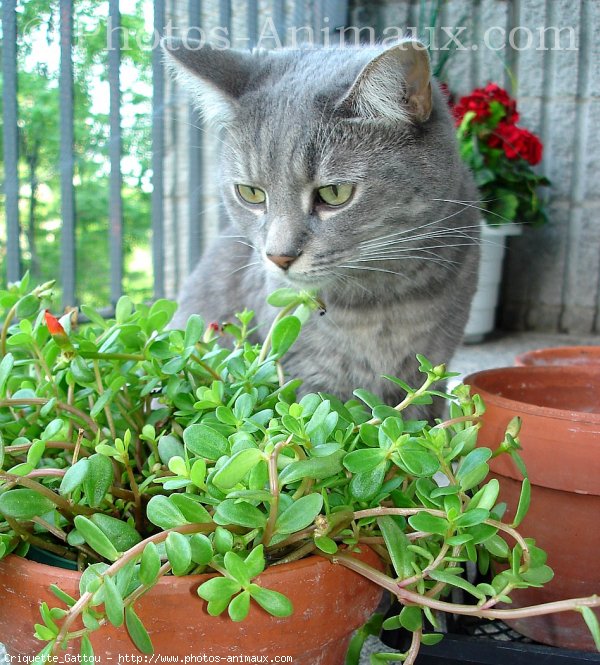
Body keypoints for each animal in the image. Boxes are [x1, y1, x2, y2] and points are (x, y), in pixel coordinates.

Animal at [162, 41, 480, 408]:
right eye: (251, 193)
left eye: (334, 193)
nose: (278, 257)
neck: (379, 302)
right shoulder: (309, 373)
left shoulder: (431, 370)